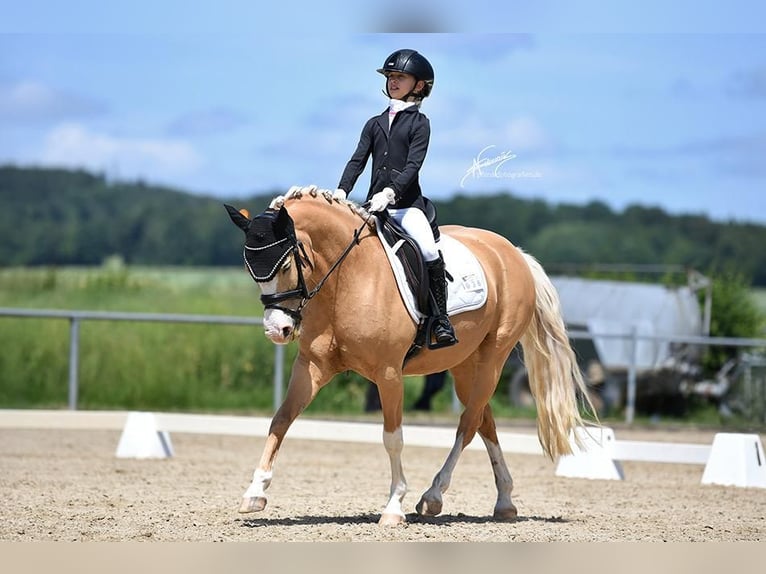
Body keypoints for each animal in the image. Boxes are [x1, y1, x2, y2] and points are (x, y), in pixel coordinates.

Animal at [225, 185, 594, 526]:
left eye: (287, 263)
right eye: (248, 268)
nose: (277, 330)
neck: (346, 278)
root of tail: (512, 252)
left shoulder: (388, 374)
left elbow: (393, 438)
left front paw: (393, 507)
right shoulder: (312, 367)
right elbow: (281, 420)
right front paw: (254, 493)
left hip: (494, 356)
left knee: (468, 423)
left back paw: (433, 497)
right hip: (465, 364)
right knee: (483, 420)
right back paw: (504, 502)